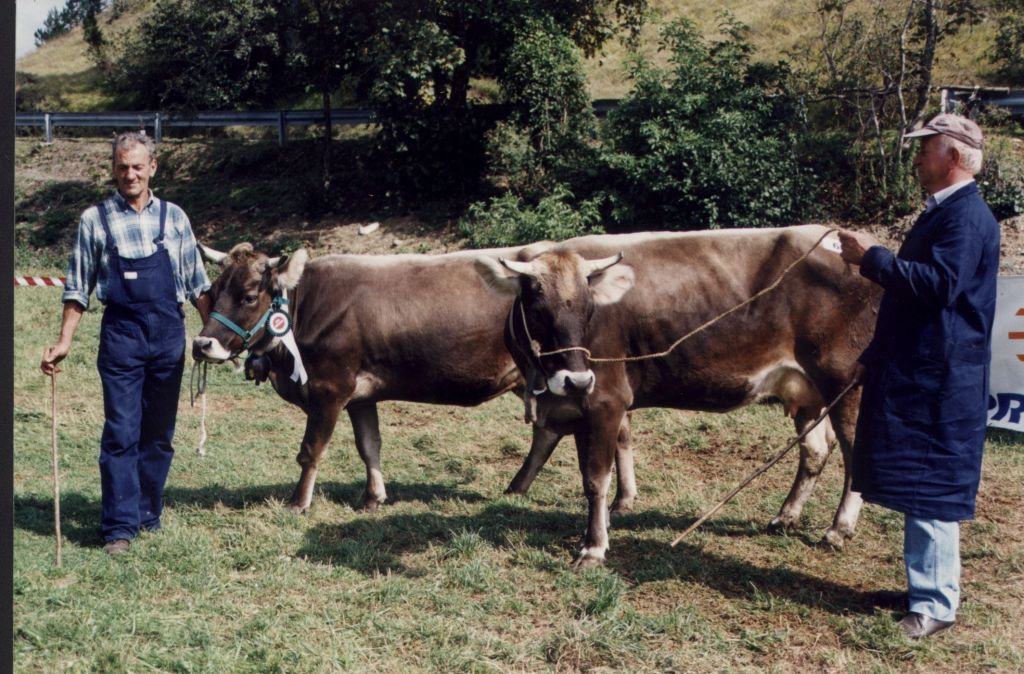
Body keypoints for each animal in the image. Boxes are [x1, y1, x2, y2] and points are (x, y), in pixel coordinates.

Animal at [192, 243, 634, 512]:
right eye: (211, 292)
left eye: (250, 295)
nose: (201, 344)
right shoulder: (361, 395)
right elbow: (369, 446)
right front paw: (374, 497)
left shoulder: (328, 389)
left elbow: (311, 449)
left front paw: (298, 502)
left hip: (565, 374)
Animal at [475, 227, 884, 565]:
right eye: (538, 310)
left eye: (590, 309)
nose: (576, 379)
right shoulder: (581, 406)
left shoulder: (605, 400)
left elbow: (595, 479)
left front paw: (593, 548)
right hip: (807, 391)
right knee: (815, 450)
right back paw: (786, 516)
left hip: (847, 381)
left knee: (853, 453)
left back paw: (837, 529)